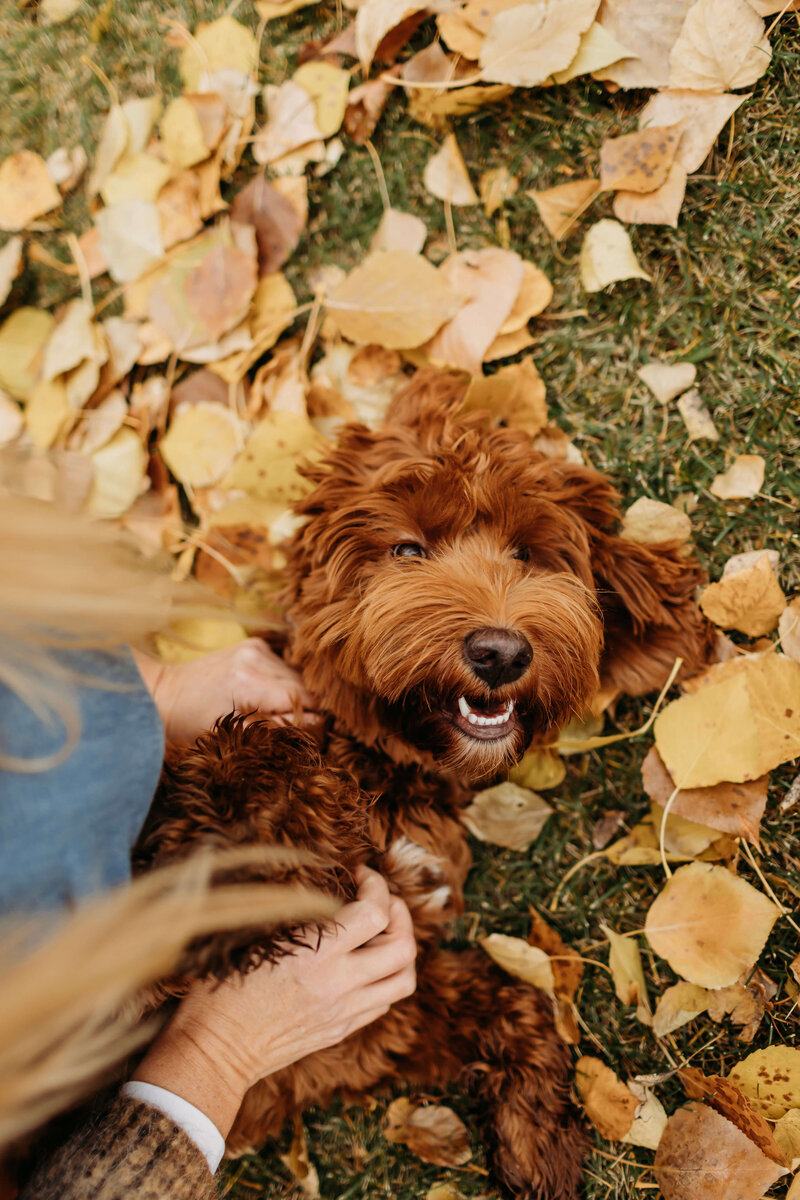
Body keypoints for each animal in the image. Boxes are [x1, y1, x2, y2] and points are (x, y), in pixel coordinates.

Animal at [136, 369, 714, 1195]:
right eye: (406, 549)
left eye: (528, 554)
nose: (500, 651)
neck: (387, 769)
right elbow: (245, 766)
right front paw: (237, 851)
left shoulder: (371, 1018)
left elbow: (513, 1001)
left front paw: (539, 1143)